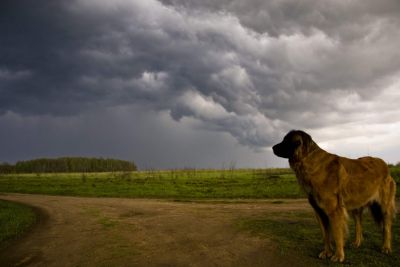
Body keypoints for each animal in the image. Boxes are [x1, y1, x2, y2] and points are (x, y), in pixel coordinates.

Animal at [274, 131, 396, 262]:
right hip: (357, 206)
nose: (273, 148)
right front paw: (327, 252)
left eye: (286, 141)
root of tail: (384, 164)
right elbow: (325, 235)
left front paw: (338, 255)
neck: (309, 162)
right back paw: (357, 243)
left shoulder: (334, 210)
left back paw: (386, 247)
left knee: (386, 226)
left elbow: (337, 234)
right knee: (359, 224)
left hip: (384, 205)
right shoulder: (319, 212)